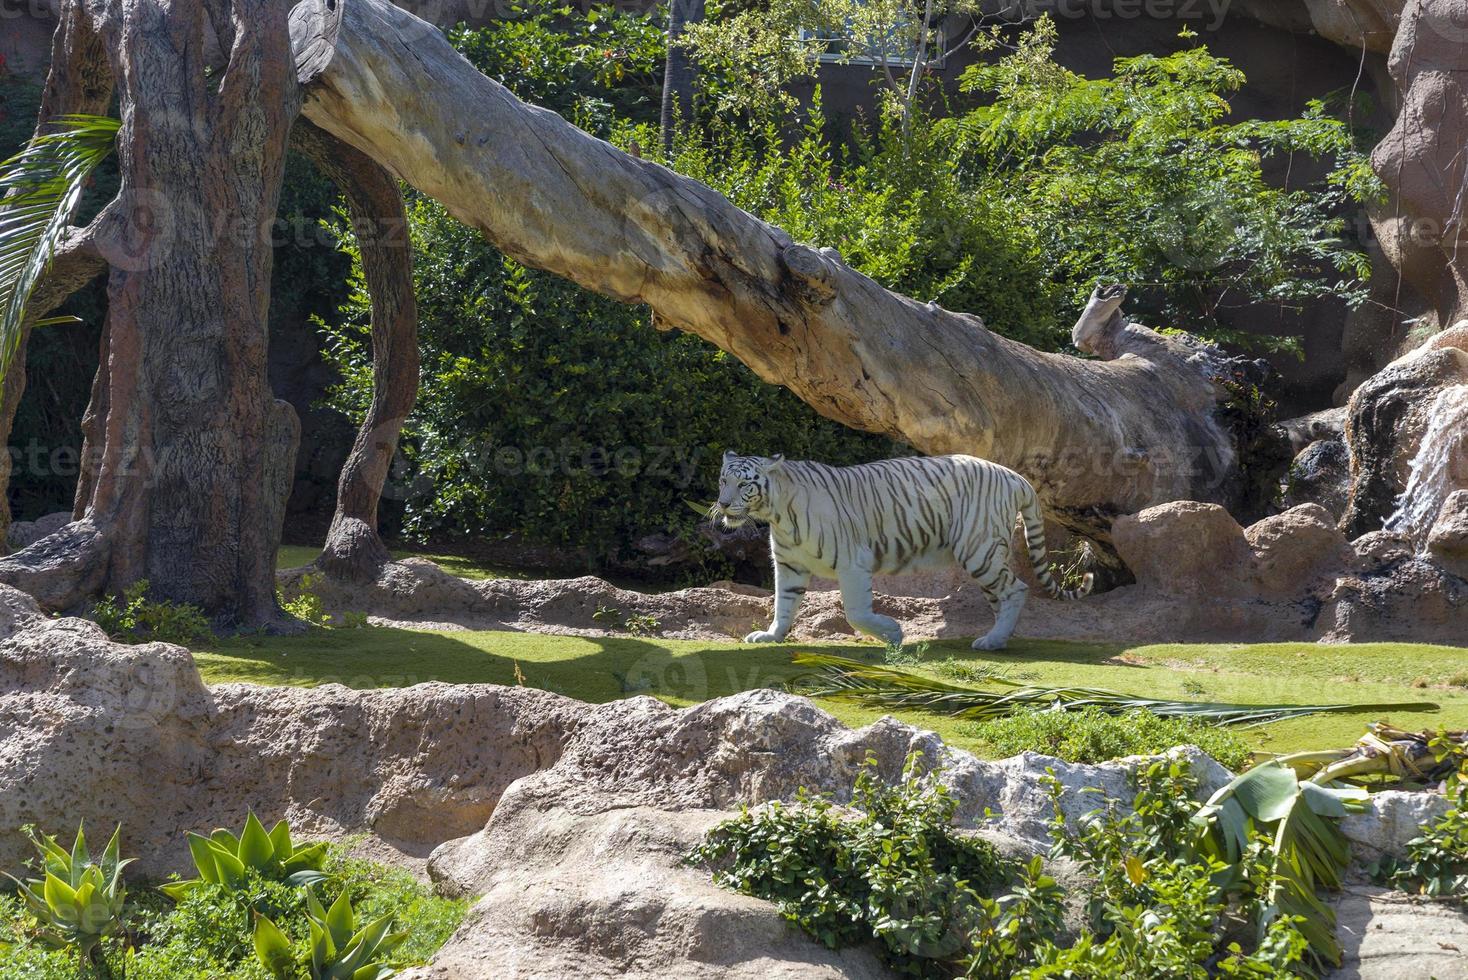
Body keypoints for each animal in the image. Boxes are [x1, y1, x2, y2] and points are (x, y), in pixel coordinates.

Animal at [710, 451, 1092, 651]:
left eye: (744, 484)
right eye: (723, 480)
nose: (723, 504)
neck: (777, 513)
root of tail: (1014, 475)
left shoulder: (852, 563)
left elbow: (856, 613)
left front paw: (893, 633)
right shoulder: (789, 566)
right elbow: (783, 604)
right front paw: (771, 635)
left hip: (979, 550)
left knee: (1017, 589)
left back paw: (993, 640)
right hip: (987, 555)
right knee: (1002, 596)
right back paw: (999, 638)